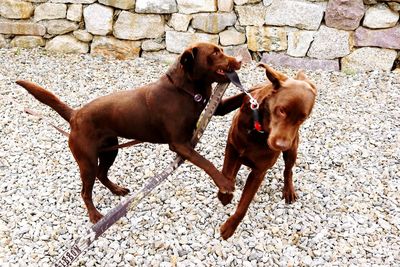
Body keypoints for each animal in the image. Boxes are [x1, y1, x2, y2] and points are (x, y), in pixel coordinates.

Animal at [17, 42, 244, 224]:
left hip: (110, 150)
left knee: (102, 174)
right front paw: (224, 183)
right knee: (85, 191)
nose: (240, 60)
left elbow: (239, 98)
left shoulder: (216, 108)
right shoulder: (179, 143)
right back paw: (94, 215)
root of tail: (75, 115)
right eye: (215, 53)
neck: (186, 90)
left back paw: (116, 190)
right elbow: (206, 162)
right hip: (87, 160)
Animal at [217, 63, 318, 241]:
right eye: (282, 110)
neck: (258, 130)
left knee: (288, 170)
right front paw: (225, 195)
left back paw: (288, 190)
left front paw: (229, 227)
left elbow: (244, 205)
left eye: (302, 118)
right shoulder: (232, 146)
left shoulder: (259, 171)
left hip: (292, 150)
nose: (282, 145)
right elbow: (227, 172)